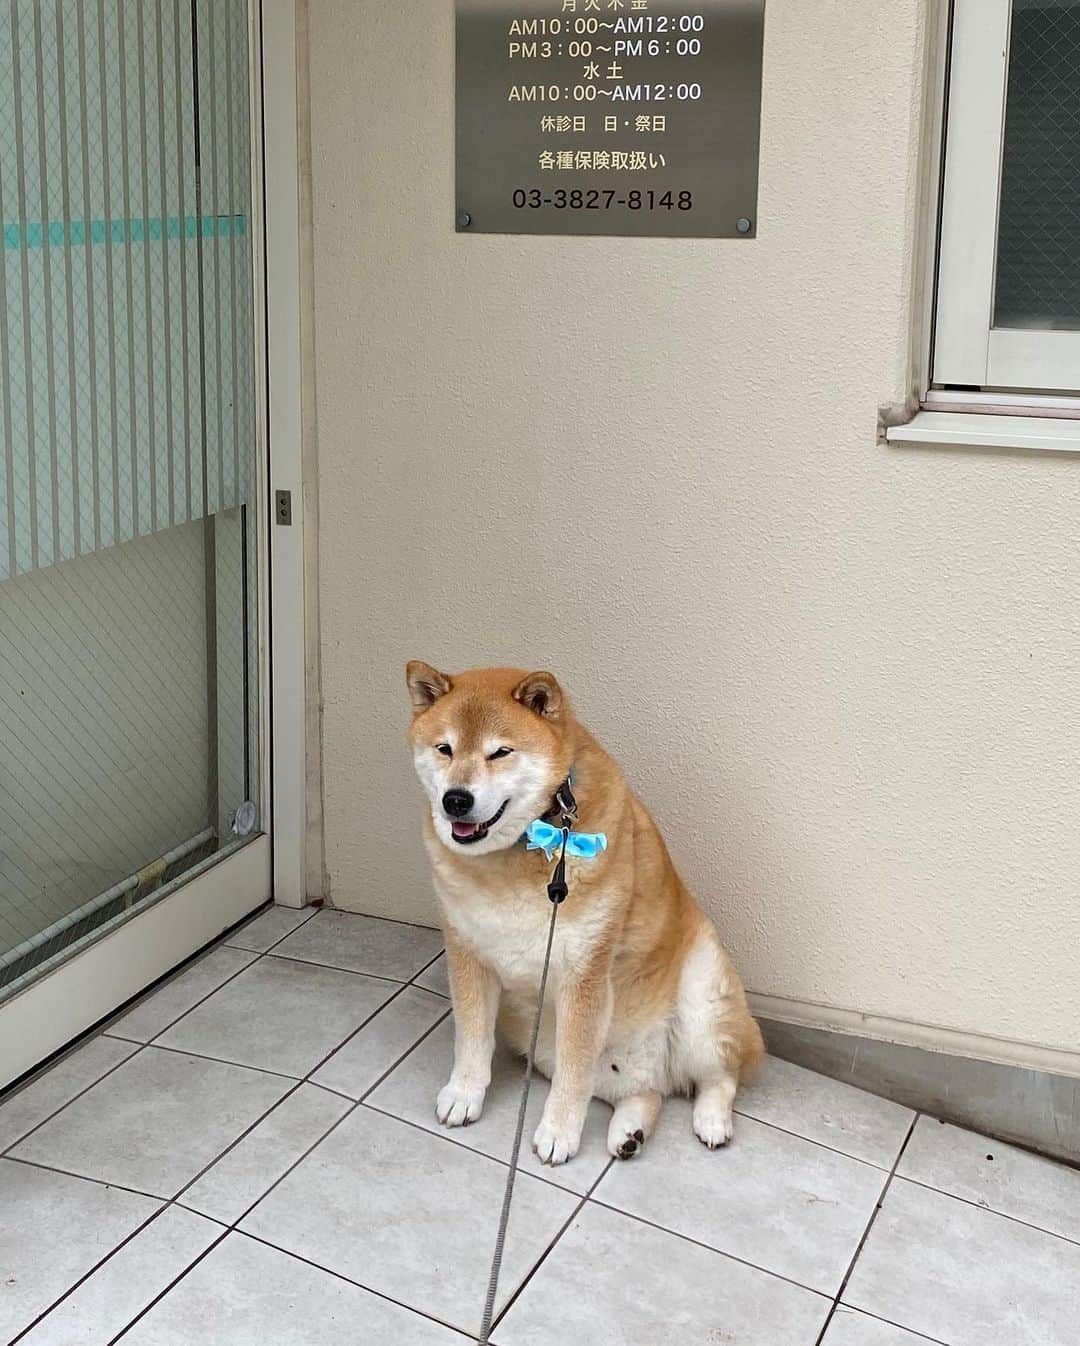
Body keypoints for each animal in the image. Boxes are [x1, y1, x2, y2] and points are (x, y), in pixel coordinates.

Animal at [403, 664, 764, 1168]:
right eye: (445, 749)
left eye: (500, 752)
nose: (456, 799)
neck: (515, 855)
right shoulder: (468, 951)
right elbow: (472, 1038)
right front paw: (463, 1094)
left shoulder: (584, 973)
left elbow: (574, 1077)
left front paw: (557, 1133)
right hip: (545, 1042)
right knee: (642, 1092)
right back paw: (630, 1133)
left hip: (703, 1002)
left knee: (719, 1078)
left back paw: (711, 1120)